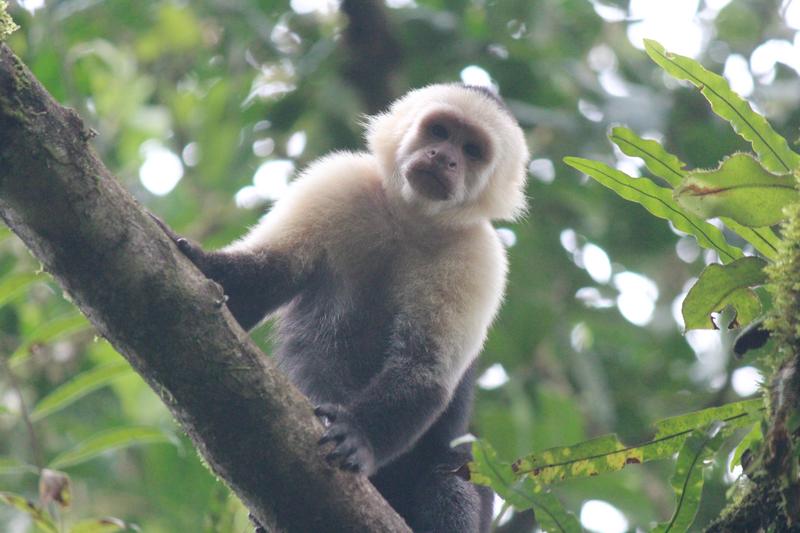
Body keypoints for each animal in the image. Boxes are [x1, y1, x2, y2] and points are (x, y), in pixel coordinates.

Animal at [156, 85, 532, 528]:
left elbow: (423, 368)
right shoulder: (338, 183)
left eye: (472, 150)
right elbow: (262, 279)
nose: (445, 157)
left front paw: (358, 435)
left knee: (449, 483)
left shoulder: (479, 257)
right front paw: (199, 261)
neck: (410, 220)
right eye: (439, 131)